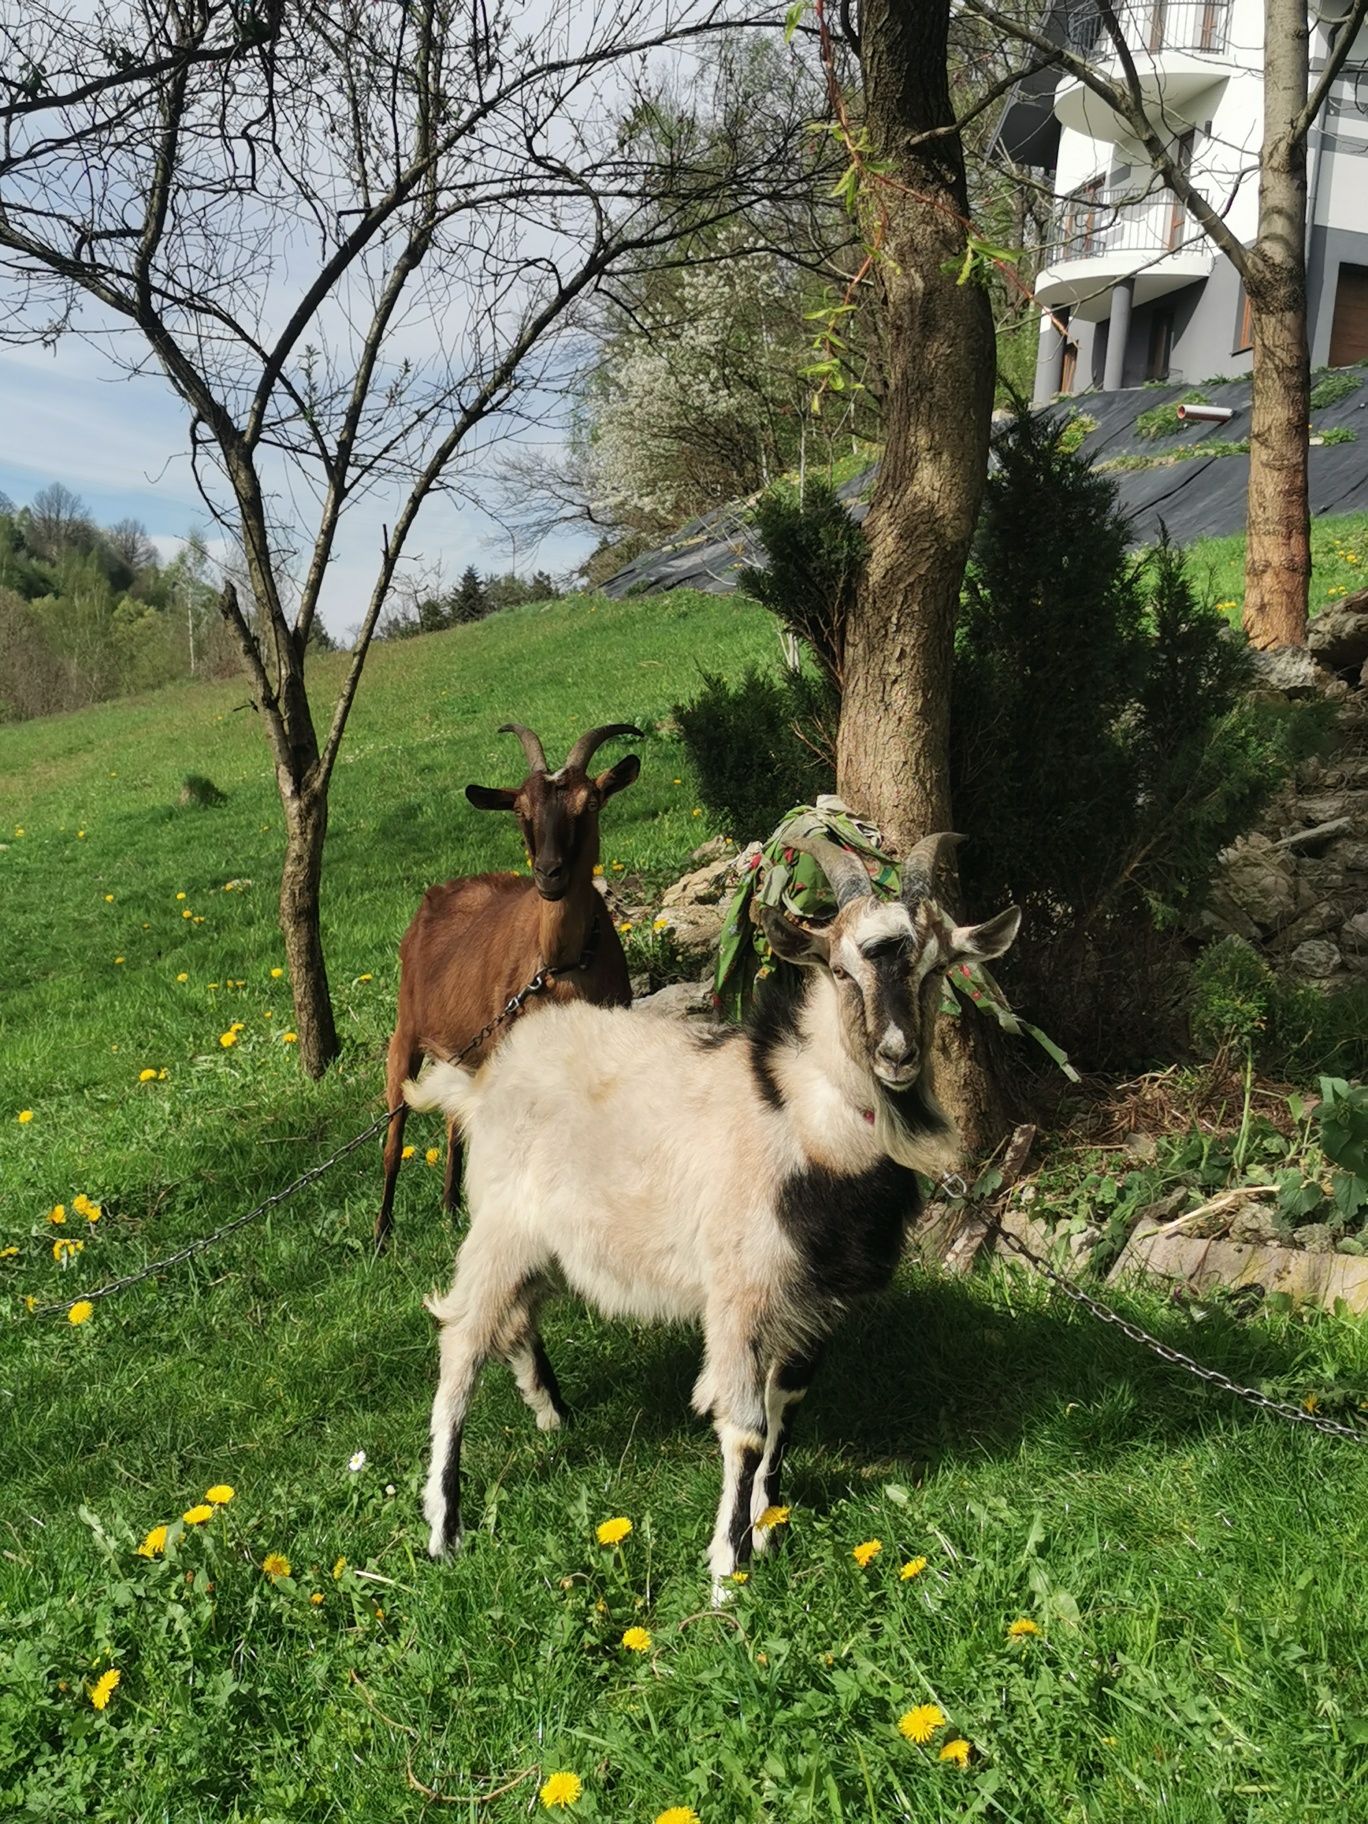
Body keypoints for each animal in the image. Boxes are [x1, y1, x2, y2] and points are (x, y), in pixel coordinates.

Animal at [375, 718, 642, 1247]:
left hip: (462, 1051)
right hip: (406, 1033)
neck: (560, 966)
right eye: (521, 809)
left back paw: (450, 1205)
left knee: (455, 1121)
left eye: (591, 804)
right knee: (395, 1132)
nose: (549, 874)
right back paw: (381, 1232)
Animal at [404, 835, 1021, 1590]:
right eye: (840, 971)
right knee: (461, 1346)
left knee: (516, 1321)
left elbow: (786, 1412)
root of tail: (484, 1080)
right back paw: (444, 1526)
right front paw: (728, 1568)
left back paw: (552, 1416)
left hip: (547, 1241)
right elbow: (746, 1427)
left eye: (935, 971)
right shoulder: (740, 1295)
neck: (802, 1119)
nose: (897, 1055)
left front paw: (768, 1527)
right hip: (499, 1226)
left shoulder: (814, 1303)